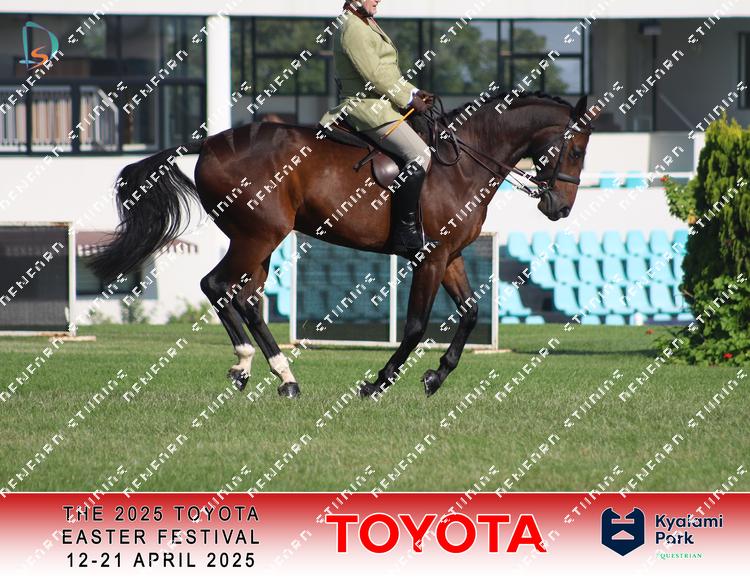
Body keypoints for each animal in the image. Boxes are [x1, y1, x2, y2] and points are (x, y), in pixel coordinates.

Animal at [90, 91, 596, 399]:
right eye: (574, 151)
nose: (560, 208)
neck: (463, 163)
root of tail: (212, 143)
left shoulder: (449, 256)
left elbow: (470, 314)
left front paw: (435, 375)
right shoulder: (429, 257)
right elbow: (415, 326)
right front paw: (379, 383)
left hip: (258, 241)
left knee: (245, 298)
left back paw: (283, 377)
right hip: (257, 236)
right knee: (216, 286)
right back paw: (244, 366)